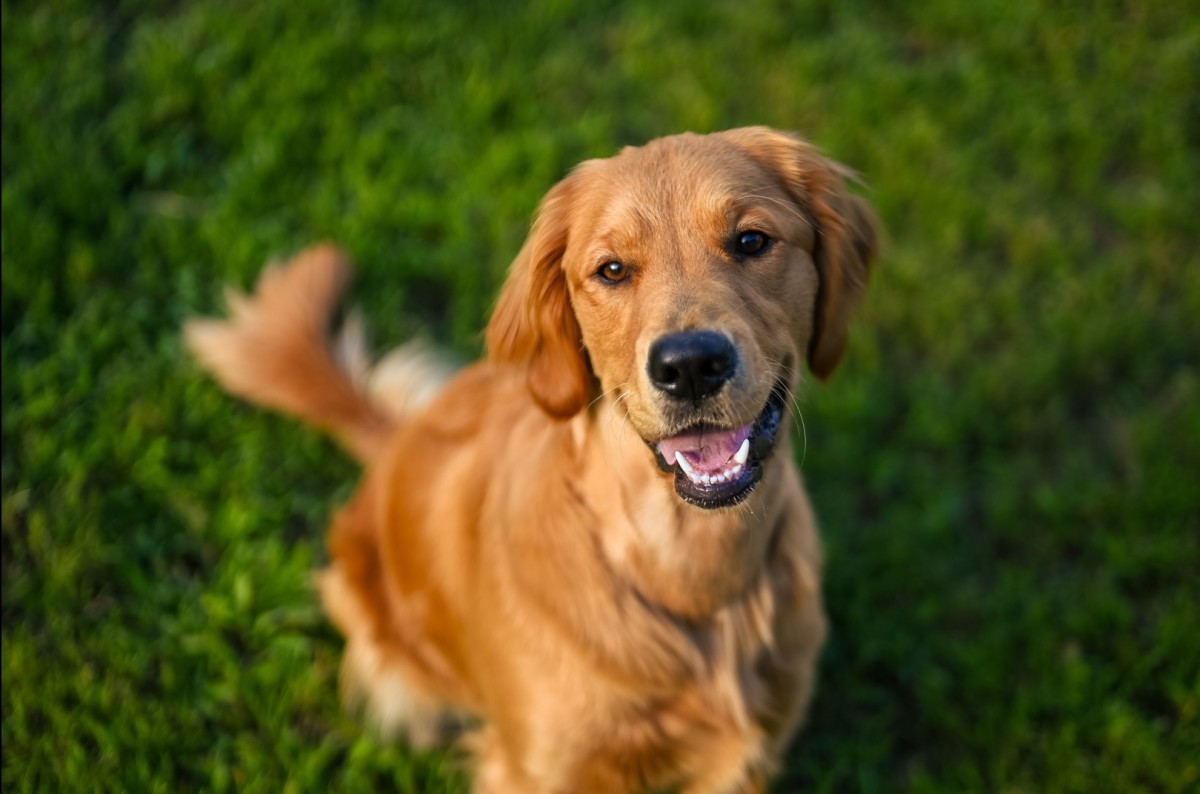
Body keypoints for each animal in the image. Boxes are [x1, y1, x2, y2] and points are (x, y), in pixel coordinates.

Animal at [187, 127, 883, 791]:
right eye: (611, 270)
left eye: (751, 240)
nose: (688, 366)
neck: (692, 574)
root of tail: (397, 438)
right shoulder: (536, 769)